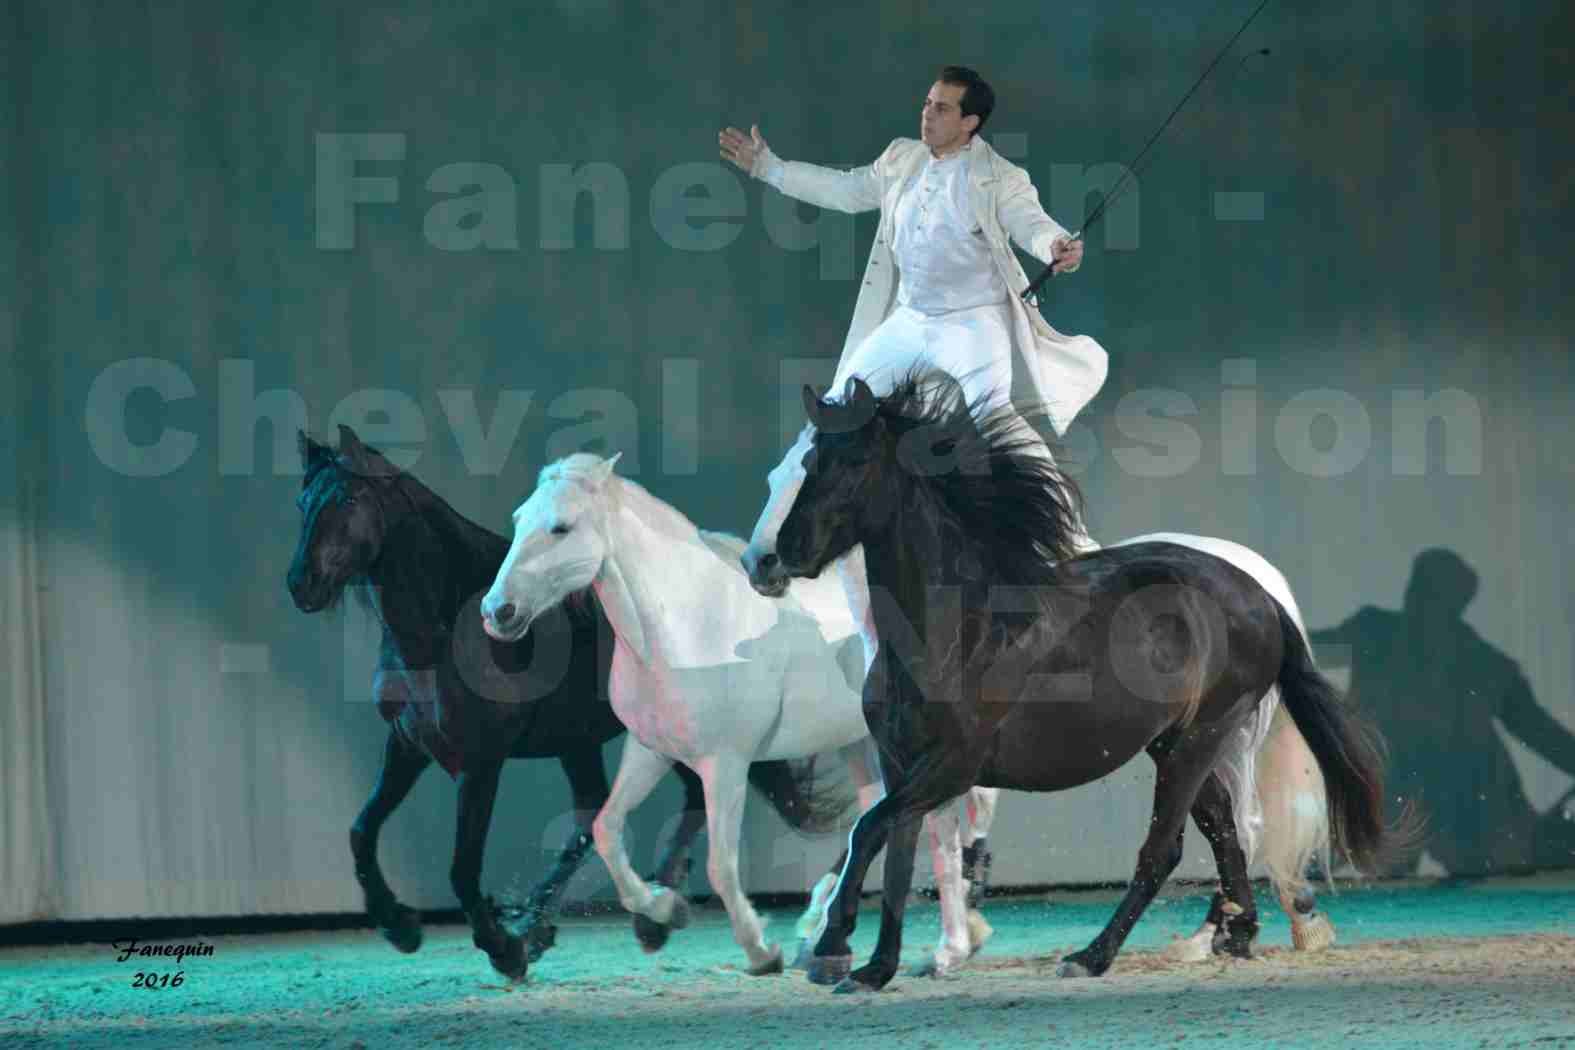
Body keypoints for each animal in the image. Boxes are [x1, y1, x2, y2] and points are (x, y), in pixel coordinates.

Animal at [288, 421, 825, 982]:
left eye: (348, 498)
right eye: (303, 501)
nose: (301, 585)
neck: (445, 630)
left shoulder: (481, 764)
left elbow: (462, 867)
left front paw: (501, 948)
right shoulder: (407, 747)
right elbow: (361, 831)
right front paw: (401, 926)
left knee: (675, 804)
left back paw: (639, 920)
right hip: (584, 743)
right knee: (595, 819)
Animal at [475, 453, 995, 976]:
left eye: (561, 527)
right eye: (518, 520)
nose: (497, 611)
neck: (688, 626)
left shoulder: (724, 764)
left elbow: (721, 867)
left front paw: (761, 950)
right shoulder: (650, 751)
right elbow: (606, 829)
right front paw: (663, 909)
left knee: (947, 822)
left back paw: (949, 942)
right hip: (862, 744)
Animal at [749, 379, 1404, 994]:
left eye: (853, 462)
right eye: (807, 462)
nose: (774, 559)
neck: (953, 631)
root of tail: (1261, 595)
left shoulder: (952, 765)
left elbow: (868, 831)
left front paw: (831, 947)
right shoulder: (900, 762)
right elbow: (894, 853)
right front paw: (873, 966)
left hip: (1202, 737)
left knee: (1166, 849)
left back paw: (1093, 956)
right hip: (1175, 742)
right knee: (1223, 829)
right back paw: (1234, 933)